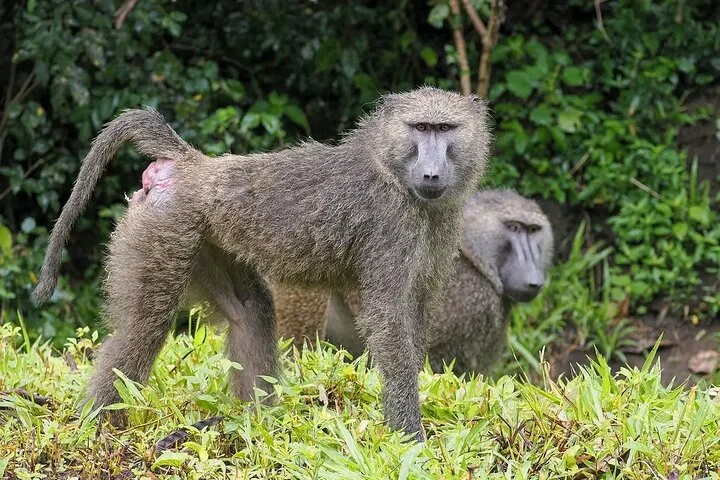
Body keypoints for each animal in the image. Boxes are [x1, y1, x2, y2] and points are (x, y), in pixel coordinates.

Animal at [33, 88, 491, 441]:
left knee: (249, 312)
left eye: (445, 129)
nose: (431, 175)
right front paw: (410, 437)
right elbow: (390, 321)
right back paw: (99, 430)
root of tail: (195, 165)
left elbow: (417, 314)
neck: (391, 167)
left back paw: (259, 422)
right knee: (142, 329)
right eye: (421, 128)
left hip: (208, 238)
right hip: (166, 227)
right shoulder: (390, 225)